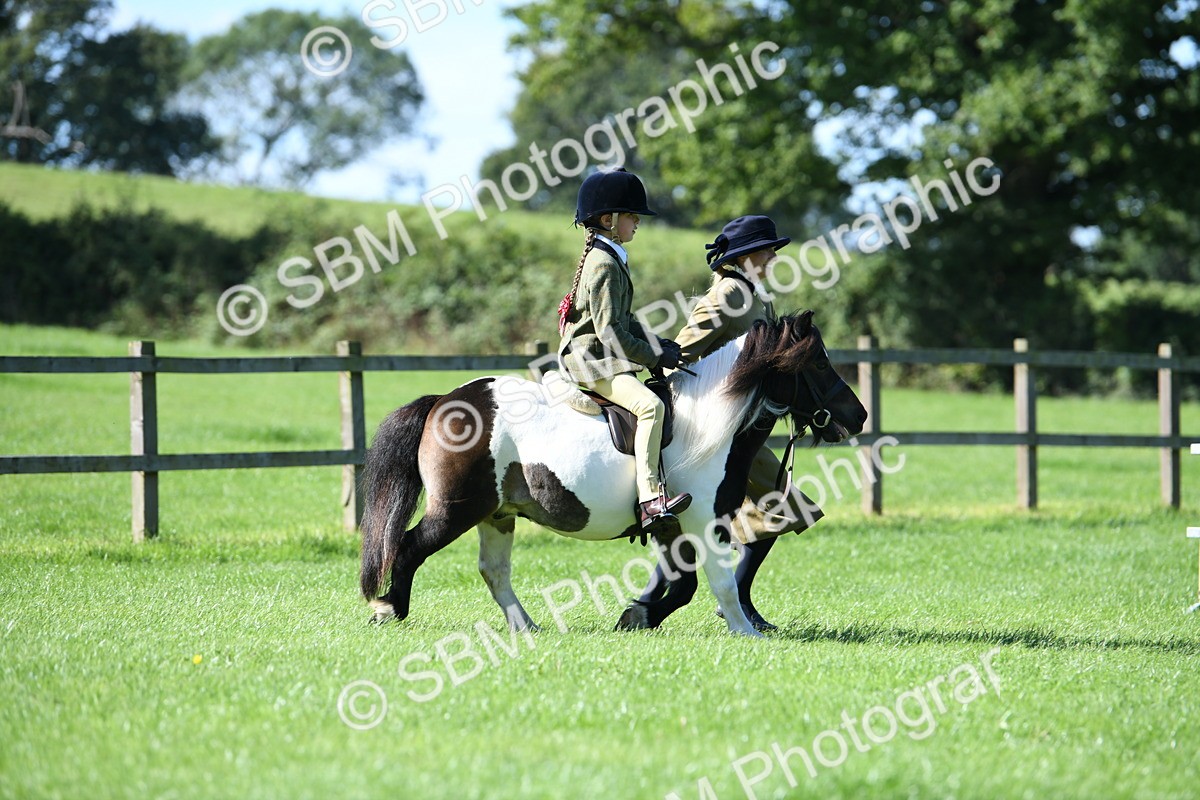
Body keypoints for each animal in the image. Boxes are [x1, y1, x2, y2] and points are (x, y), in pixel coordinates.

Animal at [359, 311, 867, 637]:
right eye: (819, 362)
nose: (858, 416)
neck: (709, 422)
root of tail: (446, 401)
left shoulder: (670, 524)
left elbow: (683, 585)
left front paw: (638, 617)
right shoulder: (704, 521)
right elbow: (718, 580)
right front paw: (746, 632)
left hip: (496, 514)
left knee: (494, 571)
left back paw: (526, 626)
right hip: (457, 509)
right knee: (408, 547)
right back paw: (387, 609)